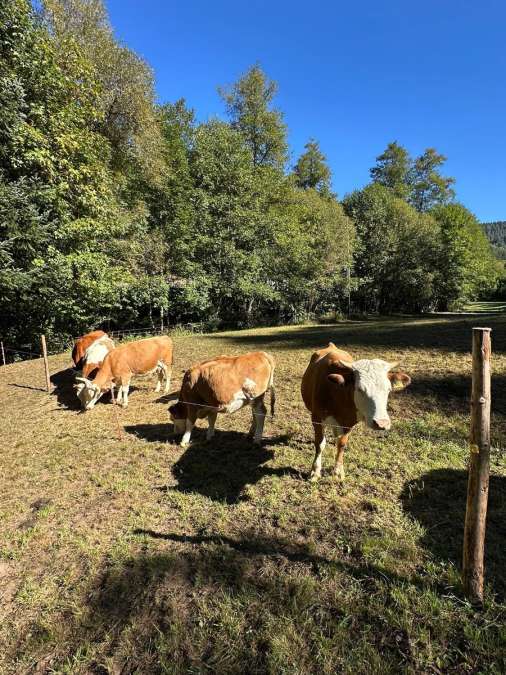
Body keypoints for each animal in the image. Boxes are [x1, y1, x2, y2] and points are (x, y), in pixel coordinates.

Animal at [301, 342, 411, 481]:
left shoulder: (348, 423)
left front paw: (338, 471)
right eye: (359, 389)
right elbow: (320, 444)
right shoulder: (317, 419)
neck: (339, 394)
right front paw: (315, 471)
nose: (382, 423)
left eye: (388, 389)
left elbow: (341, 444)